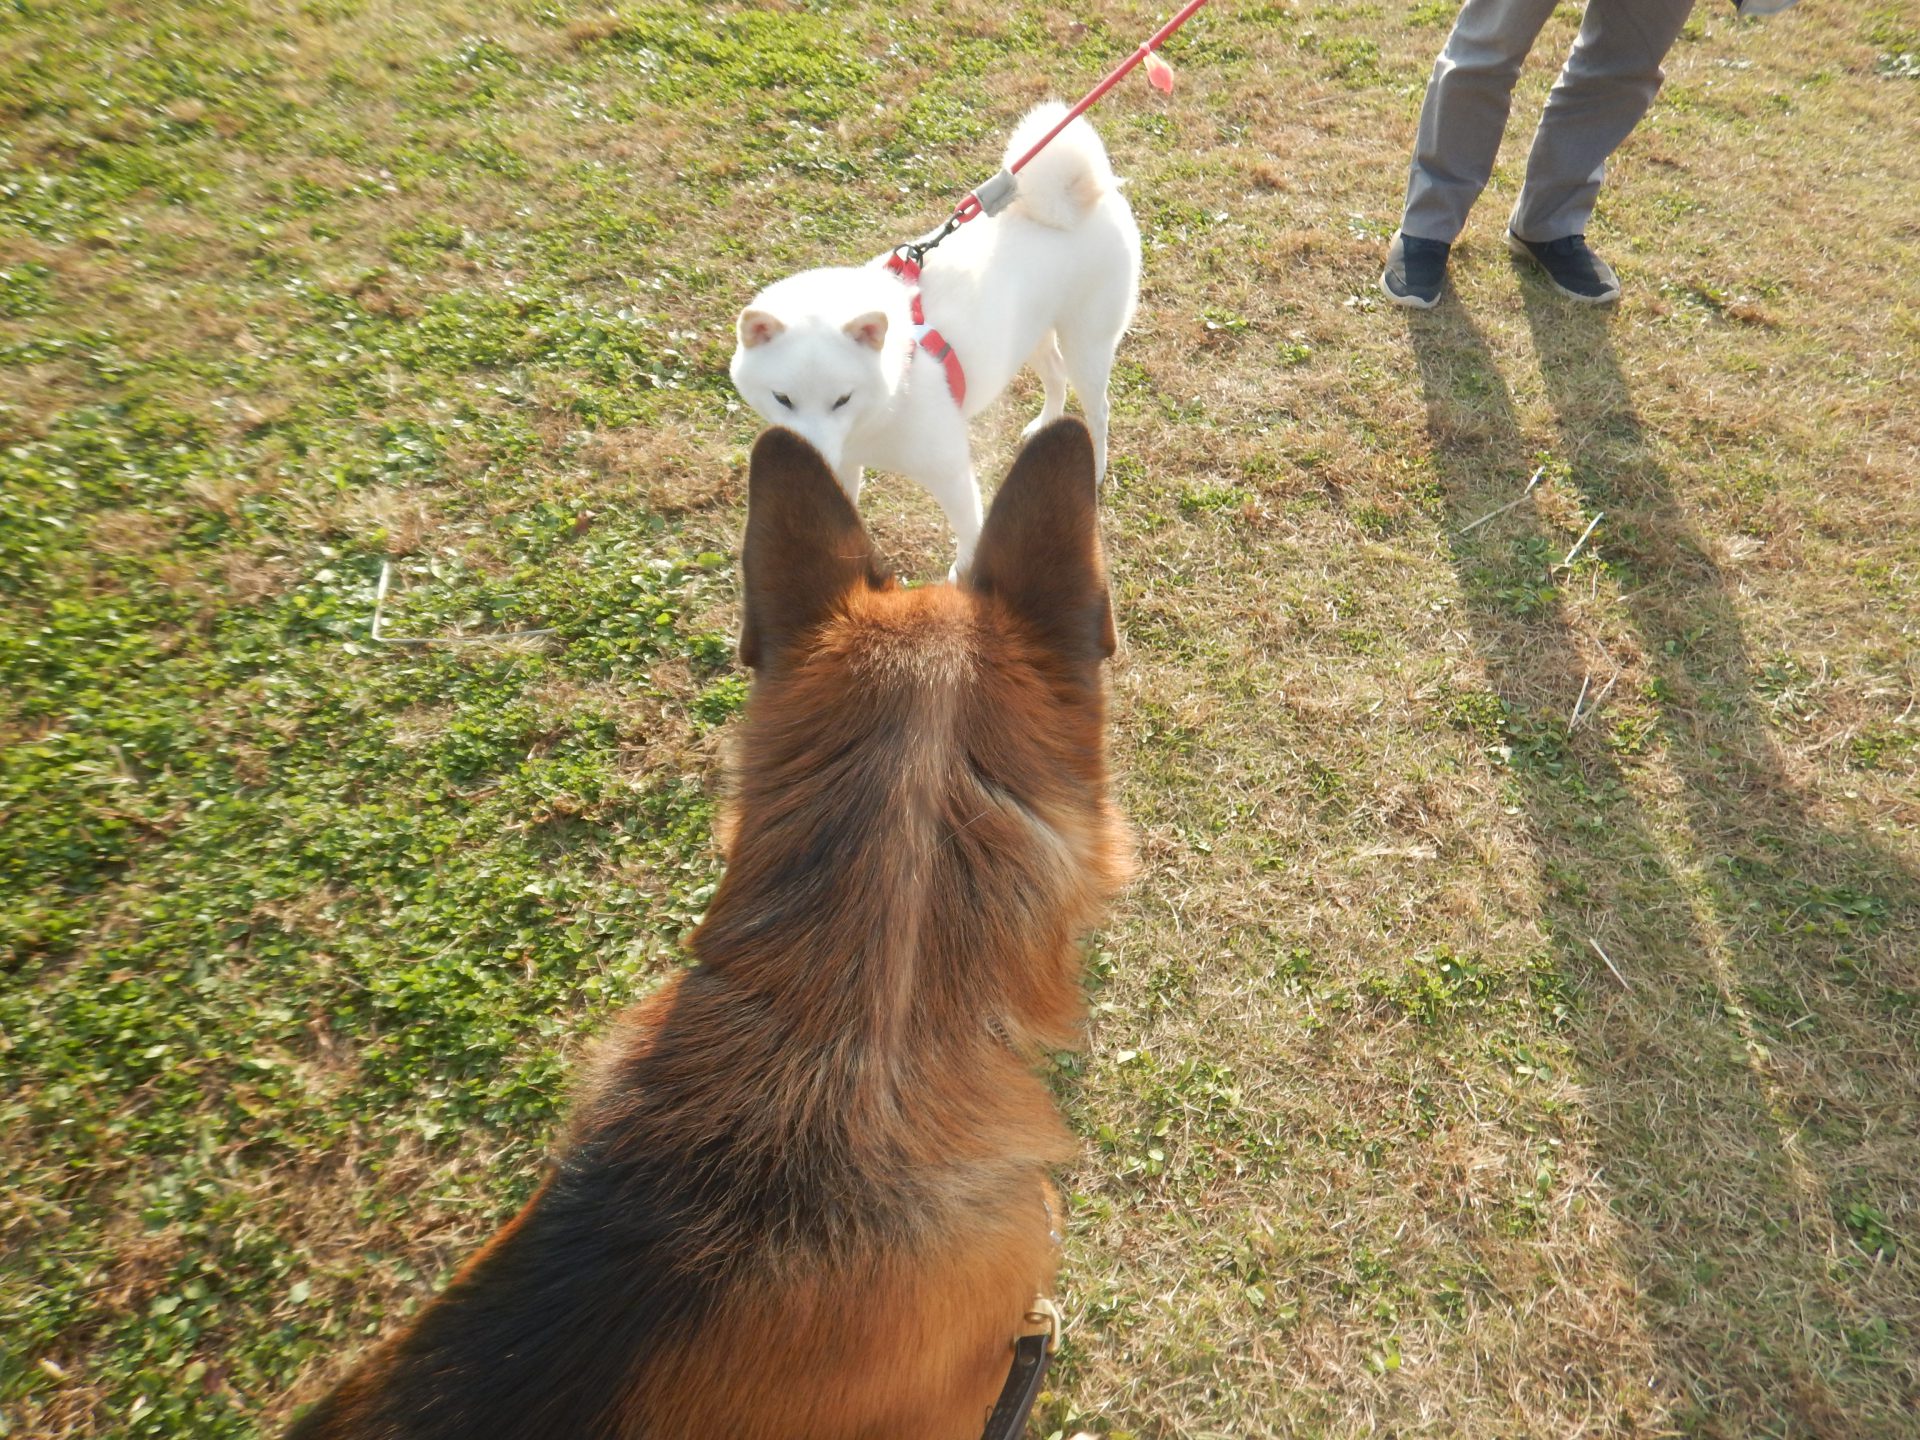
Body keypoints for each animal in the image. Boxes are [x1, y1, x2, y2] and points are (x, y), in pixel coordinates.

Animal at [725, 104, 1128, 576]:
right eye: (782, 399)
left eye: (842, 400)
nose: (814, 453)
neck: (884, 406)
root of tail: (1083, 197)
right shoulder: (844, 460)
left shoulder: (949, 471)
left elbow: (969, 532)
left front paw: (966, 575)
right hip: (1027, 334)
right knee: (1055, 374)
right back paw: (1045, 422)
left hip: (1088, 341)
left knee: (1097, 407)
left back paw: (1095, 467)